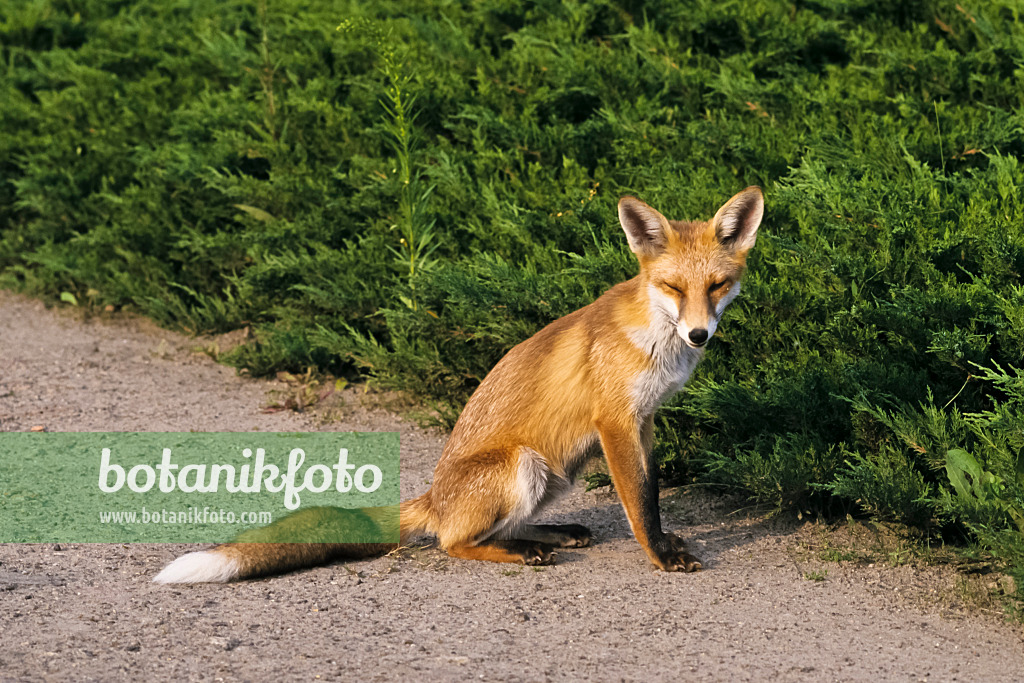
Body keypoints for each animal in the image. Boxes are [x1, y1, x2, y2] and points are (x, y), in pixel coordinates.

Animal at [151, 187, 761, 581]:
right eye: (673, 287)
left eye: (717, 285)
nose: (700, 334)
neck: (656, 342)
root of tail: (433, 498)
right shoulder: (615, 423)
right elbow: (639, 505)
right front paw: (660, 557)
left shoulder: (645, 419)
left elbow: (651, 493)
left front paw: (664, 543)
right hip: (522, 465)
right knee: (453, 543)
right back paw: (522, 554)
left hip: (556, 472)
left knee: (492, 530)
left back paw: (551, 535)